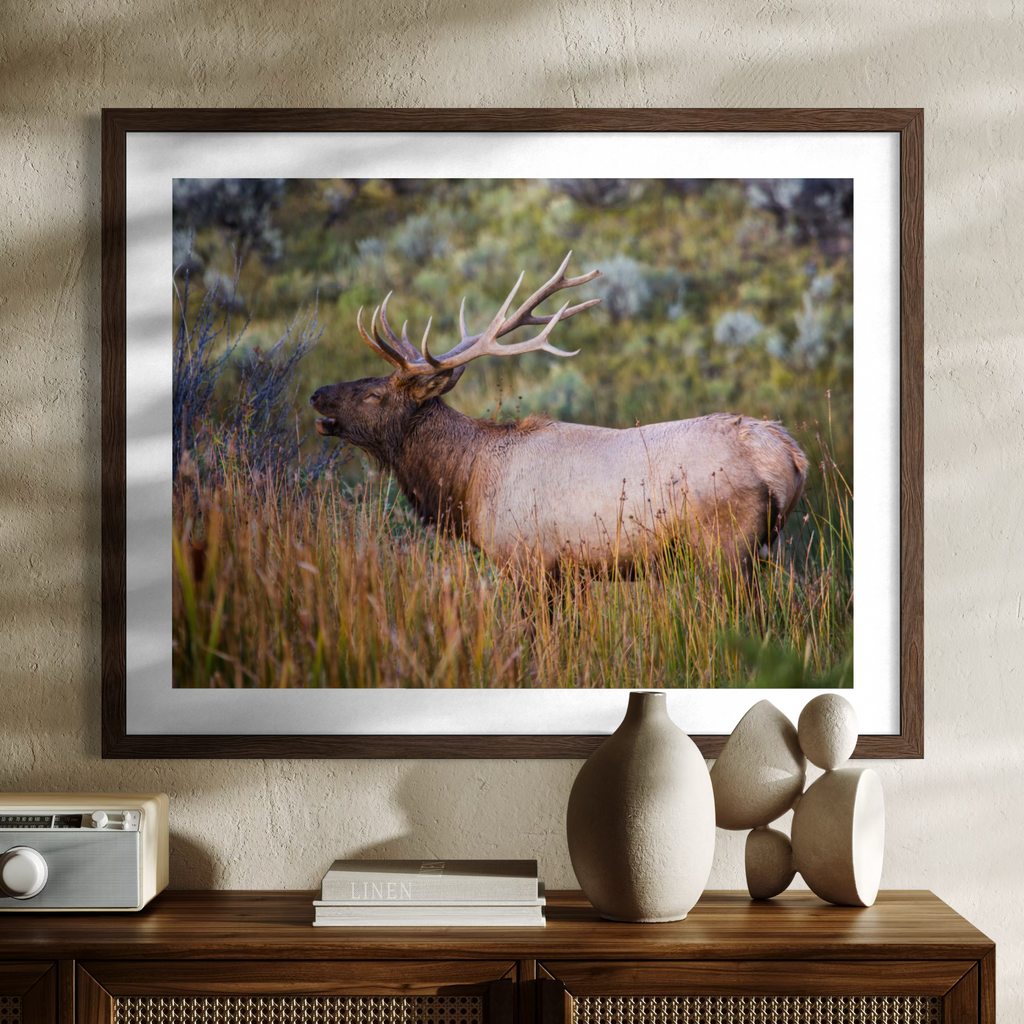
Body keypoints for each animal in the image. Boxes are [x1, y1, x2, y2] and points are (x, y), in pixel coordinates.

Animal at [310, 253, 808, 578]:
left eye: (374, 393)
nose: (317, 395)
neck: (467, 484)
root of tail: (787, 455)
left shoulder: (526, 559)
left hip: (725, 546)